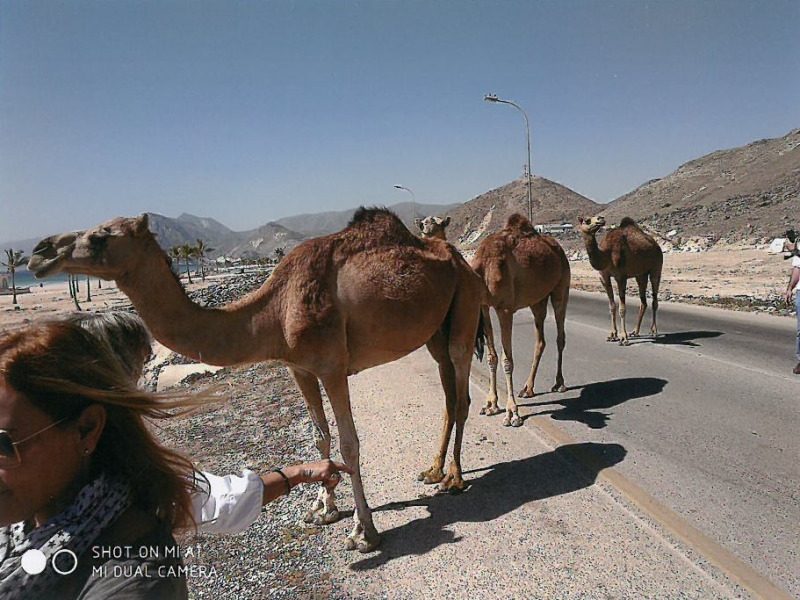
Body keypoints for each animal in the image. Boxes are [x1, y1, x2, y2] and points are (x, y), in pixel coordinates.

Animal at [28, 207, 484, 552]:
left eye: (101, 236)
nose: (38, 252)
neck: (273, 312)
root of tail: (461, 259)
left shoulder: (332, 365)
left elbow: (350, 444)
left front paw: (363, 532)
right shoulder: (299, 368)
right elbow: (320, 437)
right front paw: (322, 509)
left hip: (464, 305)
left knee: (461, 393)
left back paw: (455, 479)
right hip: (434, 330)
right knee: (448, 395)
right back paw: (433, 471)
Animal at [472, 214, 572, 426]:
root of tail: (558, 248)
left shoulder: (505, 308)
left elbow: (507, 360)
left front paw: (512, 412)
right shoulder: (484, 306)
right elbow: (492, 357)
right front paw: (491, 404)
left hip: (562, 287)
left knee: (560, 336)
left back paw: (559, 383)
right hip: (537, 300)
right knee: (540, 340)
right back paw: (528, 388)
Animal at [580, 216, 664, 346]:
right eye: (587, 220)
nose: (600, 219)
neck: (606, 255)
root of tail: (656, 244)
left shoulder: (621, 277)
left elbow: (622, 308)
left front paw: (623, 337)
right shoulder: (604, 277)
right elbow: (612, 306)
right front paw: (612, 335)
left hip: (656, 266)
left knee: (654, 300)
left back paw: (653, 331)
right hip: (641, 274)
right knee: (643, 301)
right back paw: (635, 331)